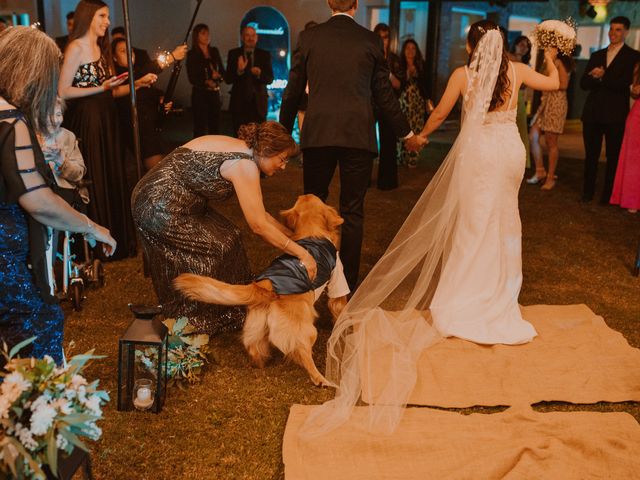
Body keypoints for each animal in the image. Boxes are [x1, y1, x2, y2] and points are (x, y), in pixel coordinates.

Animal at [172, 195, 348, 386]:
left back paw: (260, 364)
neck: (311, 230)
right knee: (303, 353)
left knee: (254, 348)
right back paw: (320, 378)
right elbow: (339, 306)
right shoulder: (338, 278)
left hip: (256, 325)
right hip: (305, 330)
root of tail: (264, 285)